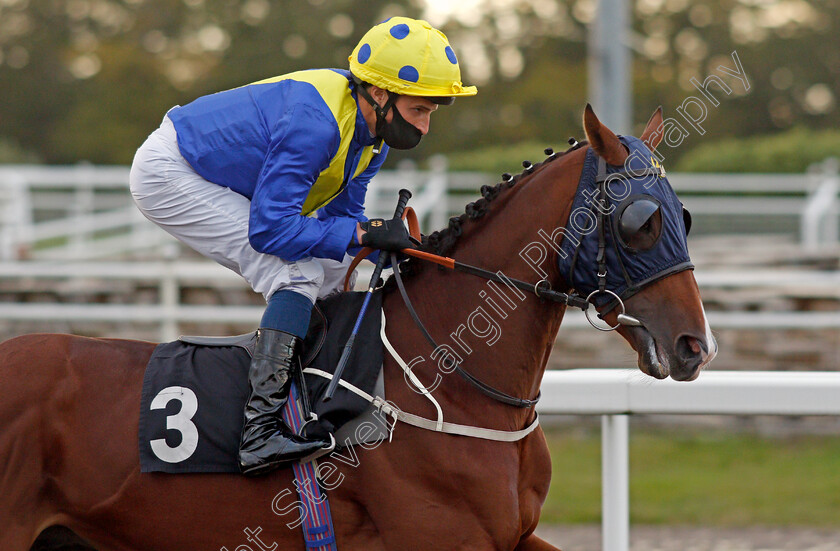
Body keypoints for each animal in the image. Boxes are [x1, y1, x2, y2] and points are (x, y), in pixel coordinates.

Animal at [3, 104, 720, 551]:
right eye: (641, 221)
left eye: (684, 214)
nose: (695, 345)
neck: (449, 382)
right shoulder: (441, 536)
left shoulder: (512, 534)